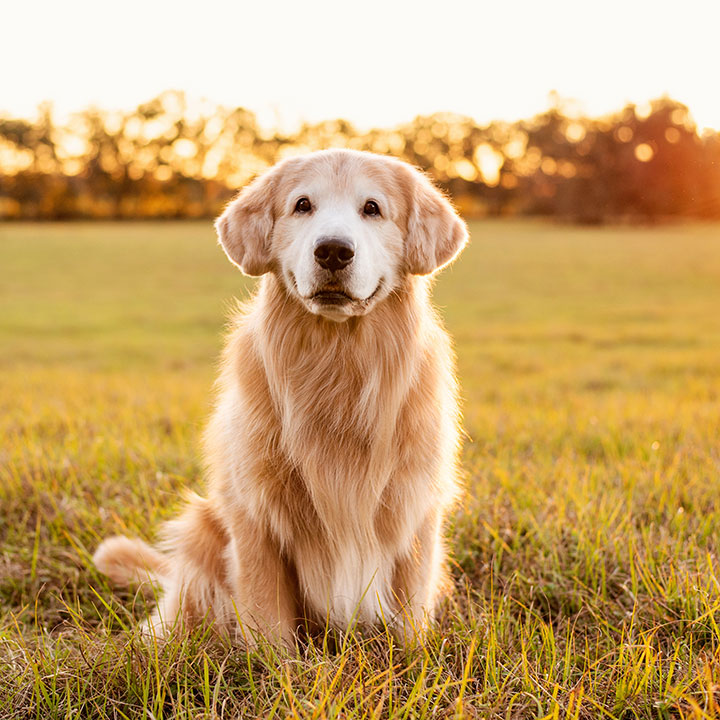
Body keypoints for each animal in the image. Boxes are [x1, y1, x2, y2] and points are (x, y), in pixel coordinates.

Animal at [93, 149, 470, 644]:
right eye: (302, 205)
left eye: (372, 208)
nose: (333, 250)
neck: (337, 362)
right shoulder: (255, 513)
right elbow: (267, 619)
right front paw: (274, 664)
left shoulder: (414, 510)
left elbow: (410, 615)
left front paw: (412, 660)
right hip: (201, 530)